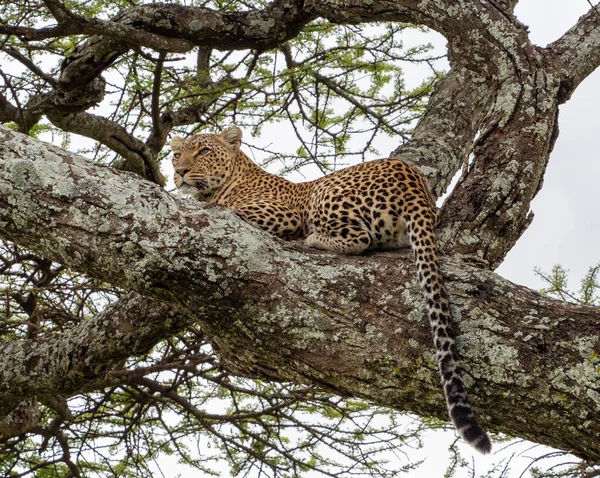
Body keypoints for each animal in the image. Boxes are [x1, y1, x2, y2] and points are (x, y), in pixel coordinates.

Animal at [170, 125, 492, 454]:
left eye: (204, 152)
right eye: (176, 154)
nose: (179, 171)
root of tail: (414, 187)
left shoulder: (281, 213)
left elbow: (227, 209)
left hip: (325, 193)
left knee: (360, 238)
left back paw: (313, 239)